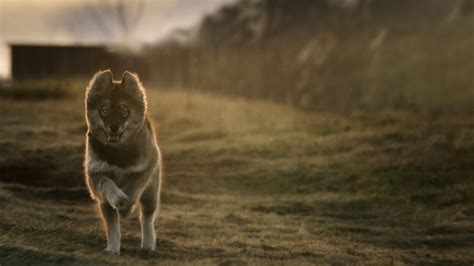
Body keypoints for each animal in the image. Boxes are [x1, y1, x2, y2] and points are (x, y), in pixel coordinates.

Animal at [83, 69, 161, 255]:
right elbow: (107, 184)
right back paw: (112, 247)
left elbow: (135, 184)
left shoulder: (149, 163)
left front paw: (126, 207)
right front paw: (118, 197)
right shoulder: (94, 176)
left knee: (147, 217)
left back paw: (148, 244)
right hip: (104, 204)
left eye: (124, 110)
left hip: (151, 193)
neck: (117, 151)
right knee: (112, 223)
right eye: (104, 110)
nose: (114, 127)